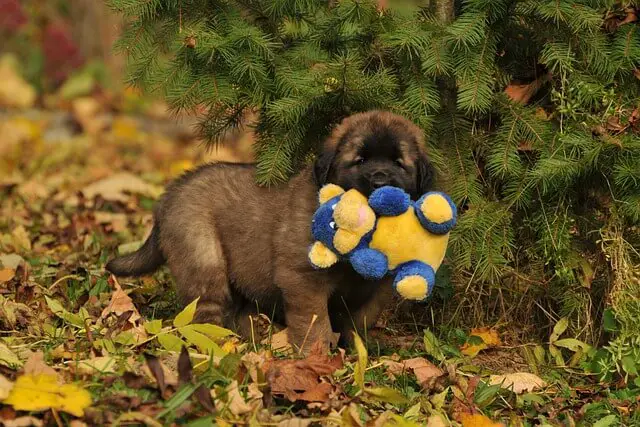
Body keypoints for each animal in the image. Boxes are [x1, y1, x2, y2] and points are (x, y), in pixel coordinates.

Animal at [106, 112, 436, 352]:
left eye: (399, 163)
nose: (380, 181)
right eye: (361, 160)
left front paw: (358, 352)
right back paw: (214, 343)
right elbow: (314, 322)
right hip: (202, 255)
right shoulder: (303, 278)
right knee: (206, 305)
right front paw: (317, 359)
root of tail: (171, 193)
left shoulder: (375, 289)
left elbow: (359, 321)